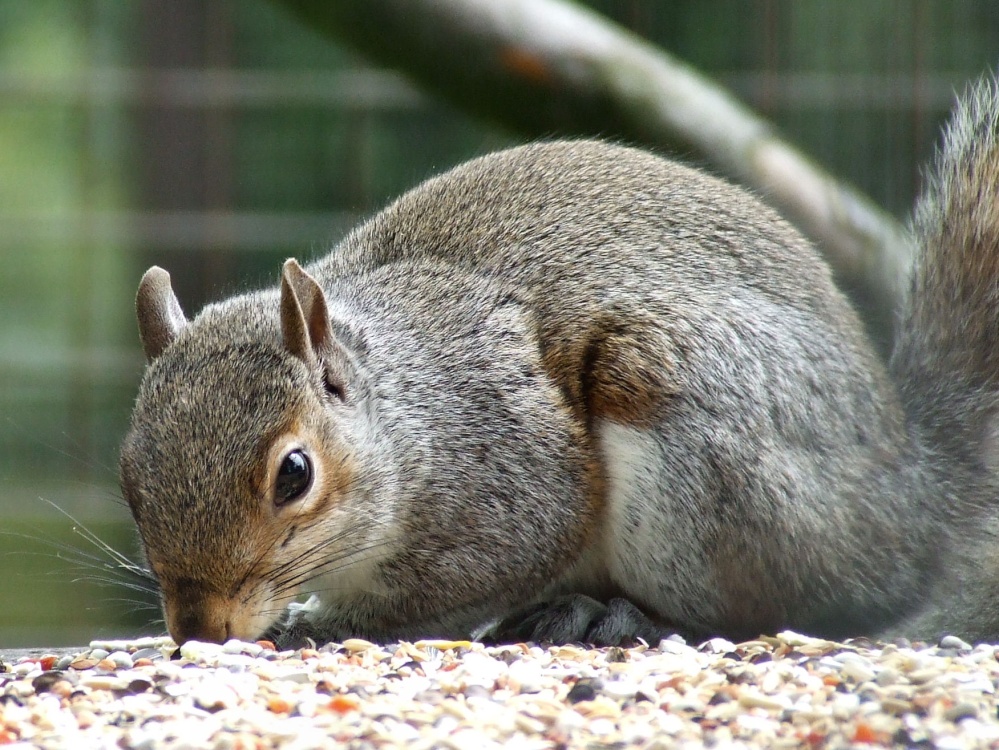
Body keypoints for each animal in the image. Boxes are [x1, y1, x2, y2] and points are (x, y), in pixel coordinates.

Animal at [121, 78, 999, 652]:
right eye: (130, 482)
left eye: (294, 475)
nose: (200, 631)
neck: (404, 414)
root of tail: (912, 497)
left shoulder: (505, 481)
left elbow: (454, 586)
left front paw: (319, 626)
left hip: (700, 426)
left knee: (784, 609)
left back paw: (627, 617)